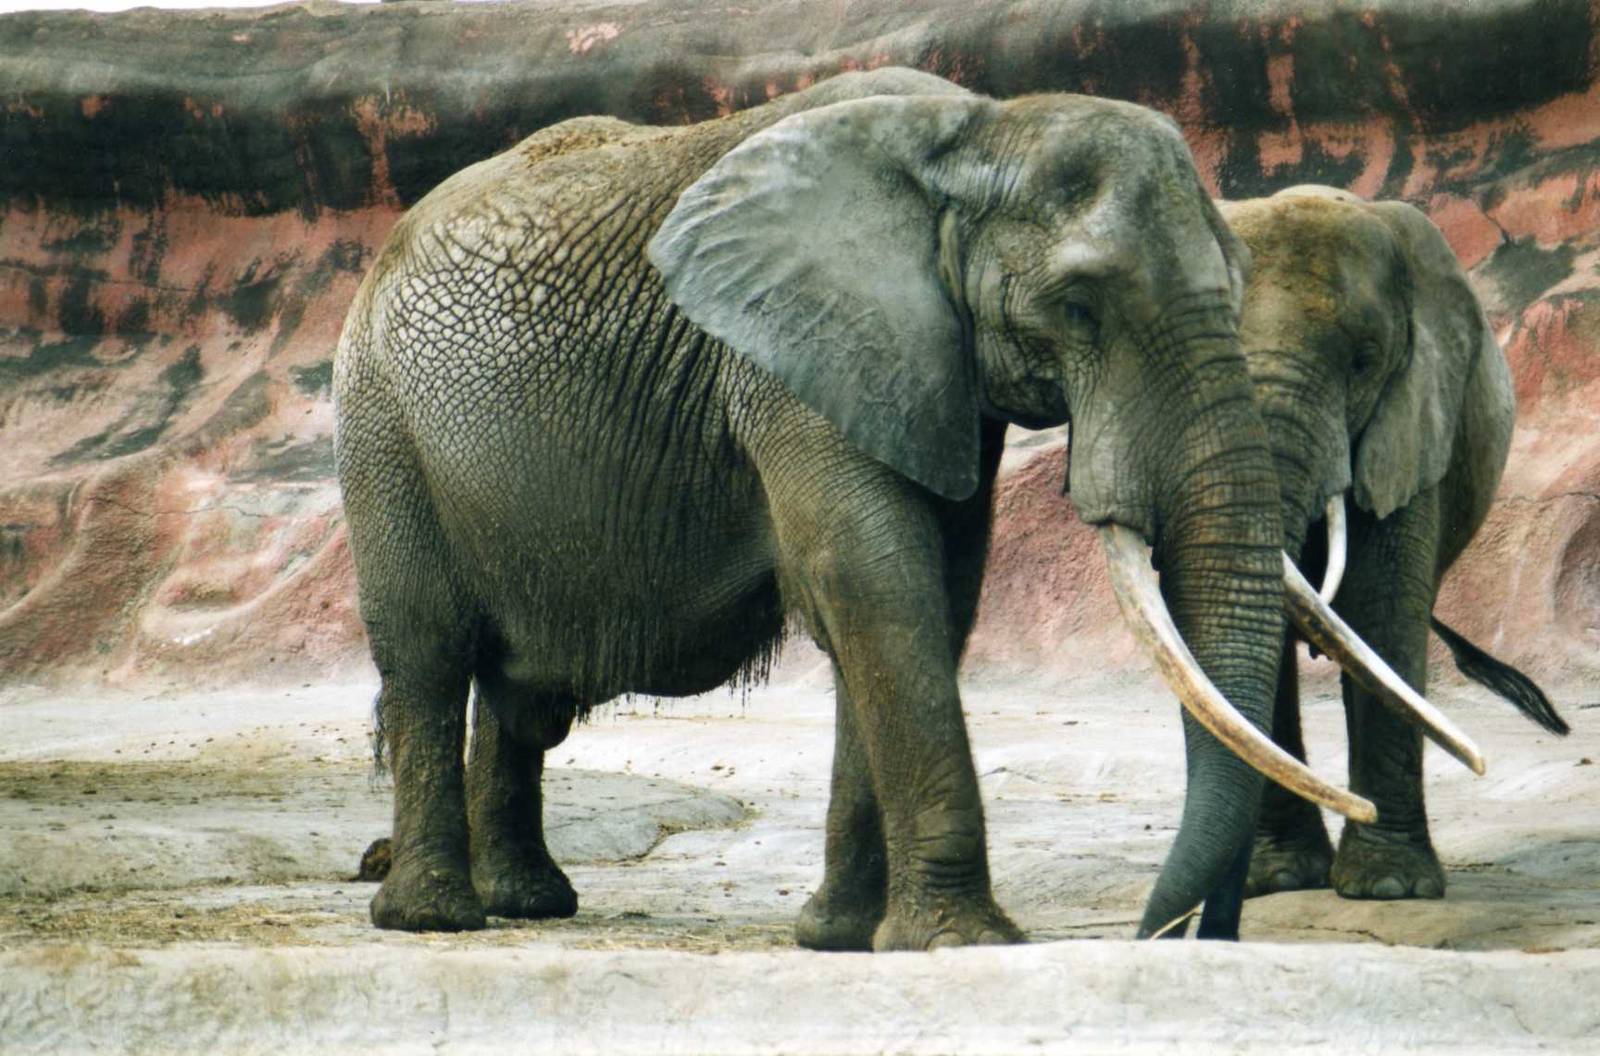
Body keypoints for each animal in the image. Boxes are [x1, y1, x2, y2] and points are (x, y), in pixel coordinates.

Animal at [333, 67, 1425, 949]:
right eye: (1079, 307)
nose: (1177, 931)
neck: (973, 134)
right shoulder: (786, 359)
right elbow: (872, 577)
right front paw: (960, 943)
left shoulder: (936, 372)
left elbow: (933, 592)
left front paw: (842, 937)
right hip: (381, 428)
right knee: (430, 654)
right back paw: (434, 918)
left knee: (522, 691)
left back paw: (528, 903)